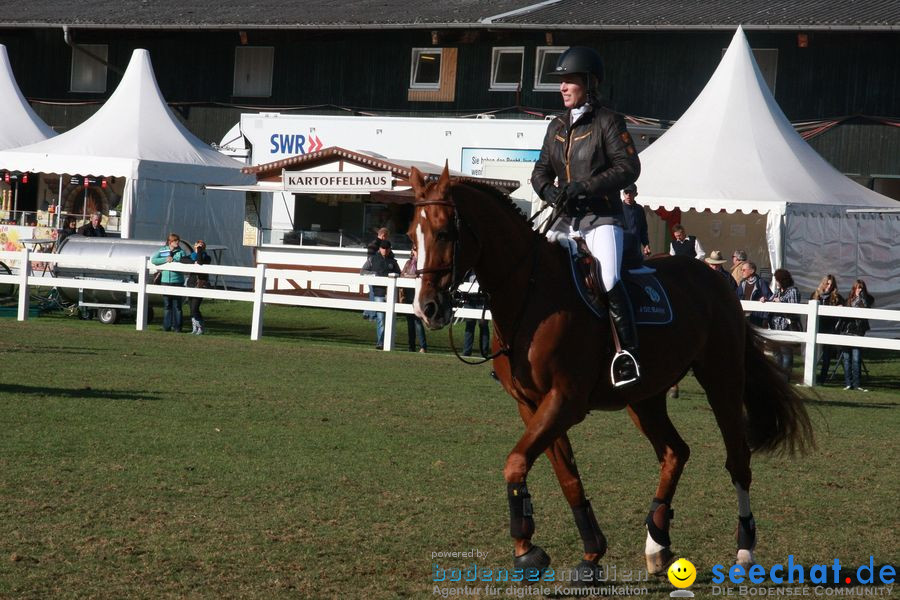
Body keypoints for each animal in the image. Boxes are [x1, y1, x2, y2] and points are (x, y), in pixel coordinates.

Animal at [408, 165, 816, 580]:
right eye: (410, 235)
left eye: (444, 232)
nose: (427, 308)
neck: (532, 295)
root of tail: (718, 280)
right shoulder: (532, 406)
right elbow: (564, 477)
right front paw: (586, 551)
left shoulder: (564, 402)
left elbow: (516, 462)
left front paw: (528, 550)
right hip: (644, 398)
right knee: (675, 452)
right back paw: (657, 543)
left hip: (722, 381)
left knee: (737, 459)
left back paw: (744, 547)